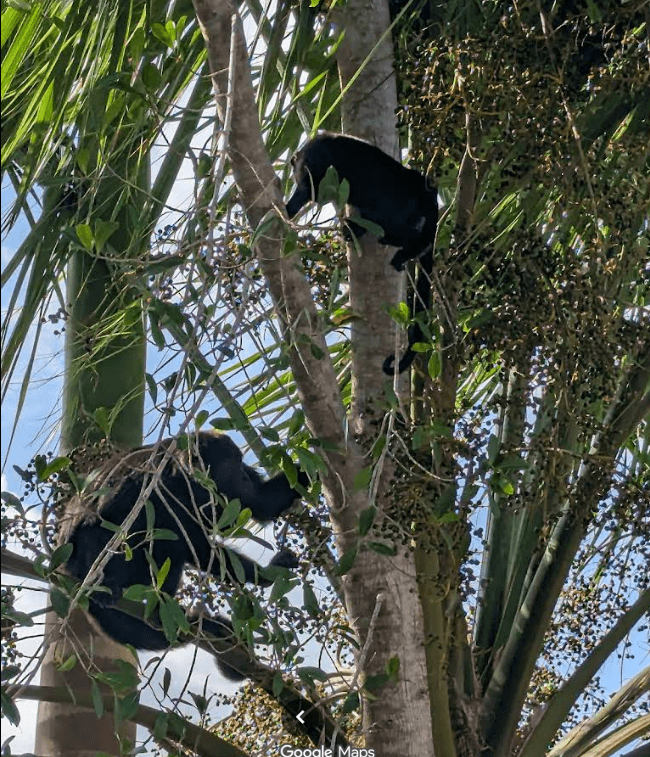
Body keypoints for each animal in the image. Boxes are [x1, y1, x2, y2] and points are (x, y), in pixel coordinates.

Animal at [60, 432, 308, 680]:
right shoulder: (161, 487)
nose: (247, 475)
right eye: (236, 465)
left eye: (242, 464)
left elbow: (260, 503)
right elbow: (197, 545)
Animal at [285, 133, 437, 373]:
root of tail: (423, 188)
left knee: (410, 234)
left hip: (395, 209)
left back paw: (402, 250)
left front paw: (287, 209)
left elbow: (307, 193)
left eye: (305, 171)